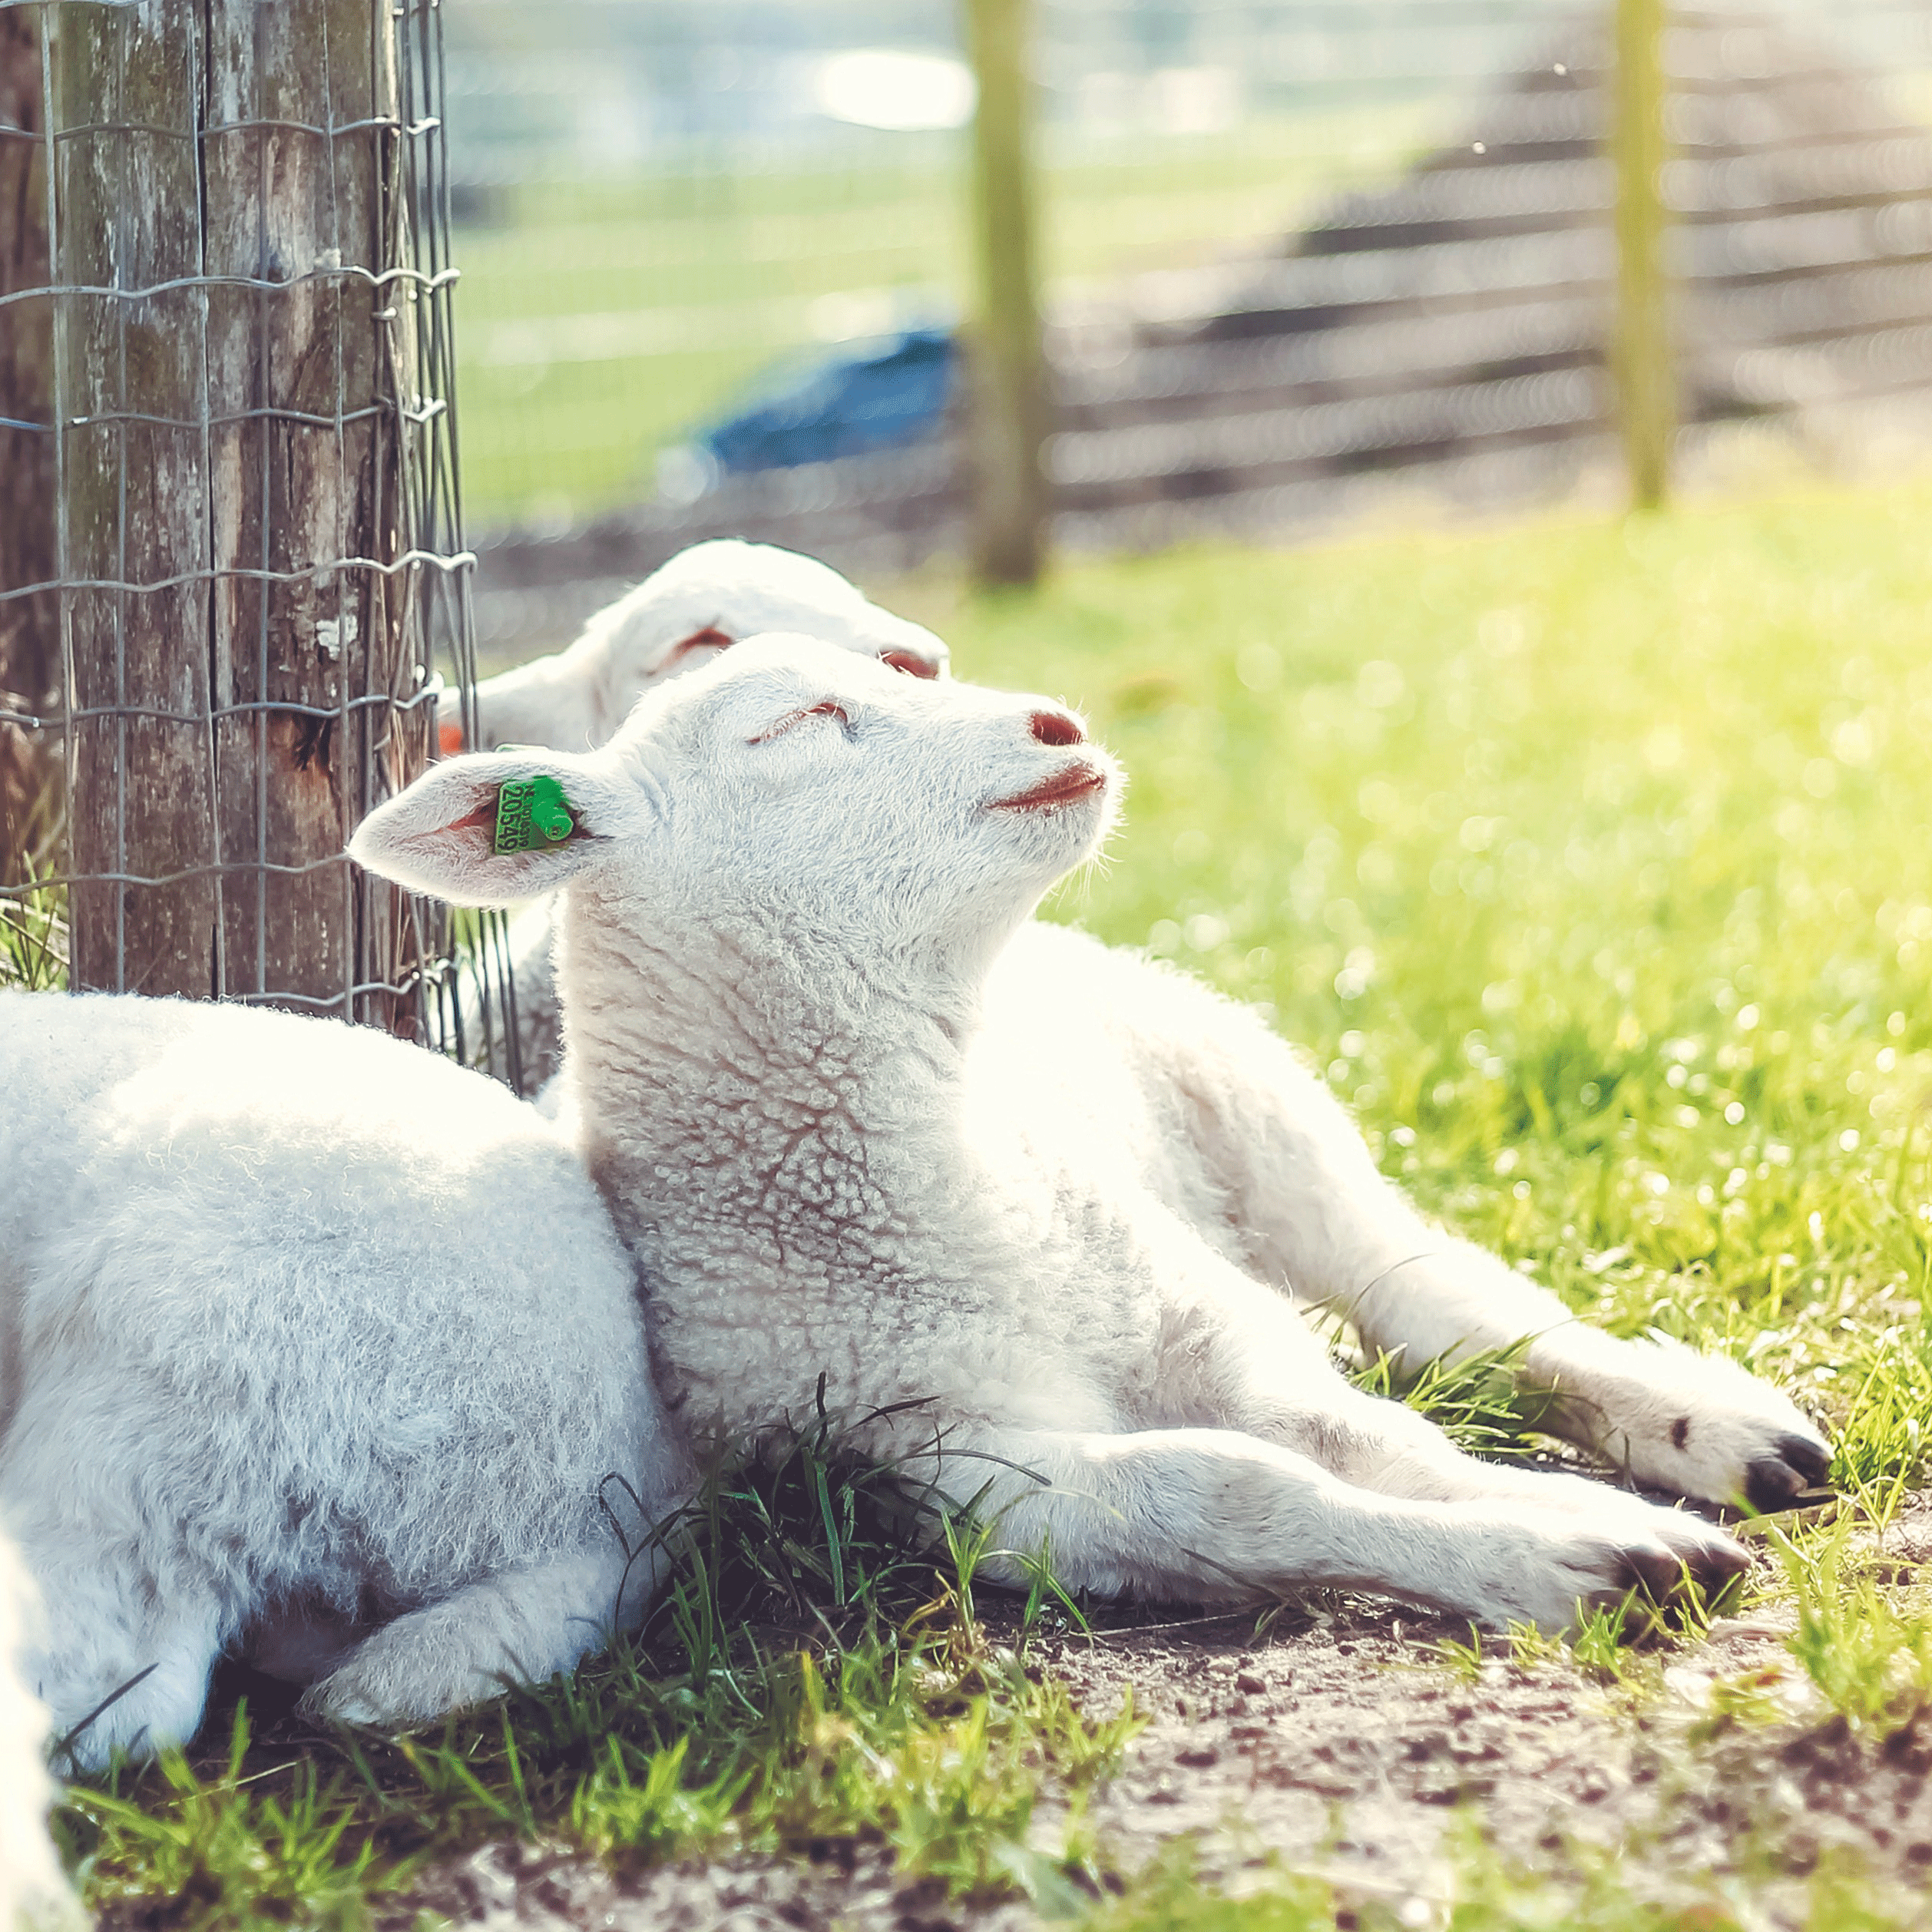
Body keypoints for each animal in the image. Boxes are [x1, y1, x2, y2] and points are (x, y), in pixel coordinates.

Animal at [355, 637, 1831, 1630]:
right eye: (800, 722)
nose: (1055, 720)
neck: (949, 1203)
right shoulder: (943, 1464)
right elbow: (1234, 1490)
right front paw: (1572, 1557)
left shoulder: (1197, 1318)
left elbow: (1372, 1440)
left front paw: (1584, 1517)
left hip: (1244, 1091)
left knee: (1436, 1302)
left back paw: (1715, 1429)